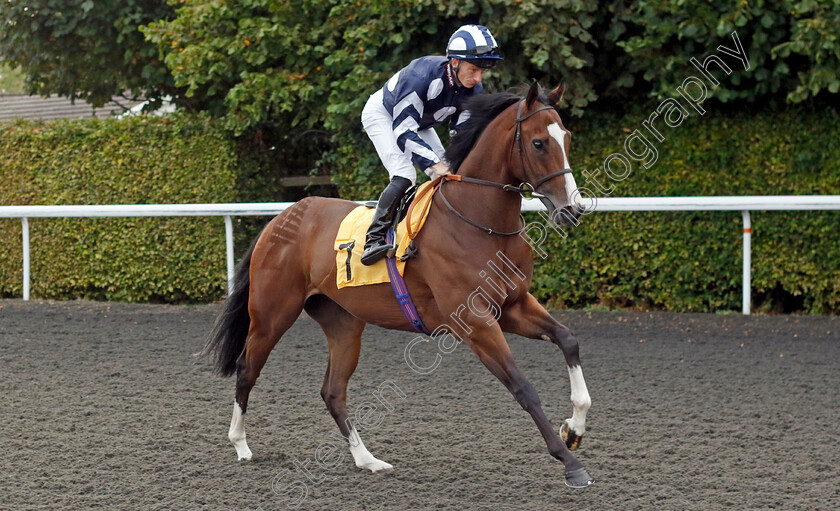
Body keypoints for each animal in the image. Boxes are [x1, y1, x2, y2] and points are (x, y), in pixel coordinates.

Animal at [204, 83, 596, 488]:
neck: (478, 221)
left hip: (343, 324)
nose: (574, 209)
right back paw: (240, 445)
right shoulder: (475, 321)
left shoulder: (512, 306)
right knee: (247, 368)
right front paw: (570, 463)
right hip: (271, 315)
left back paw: (367, 459)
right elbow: (524, 388)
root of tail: (281, 218)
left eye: (566, 137)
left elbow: (568, 339)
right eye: (538, 143)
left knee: (333, 391)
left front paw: (574, 429)